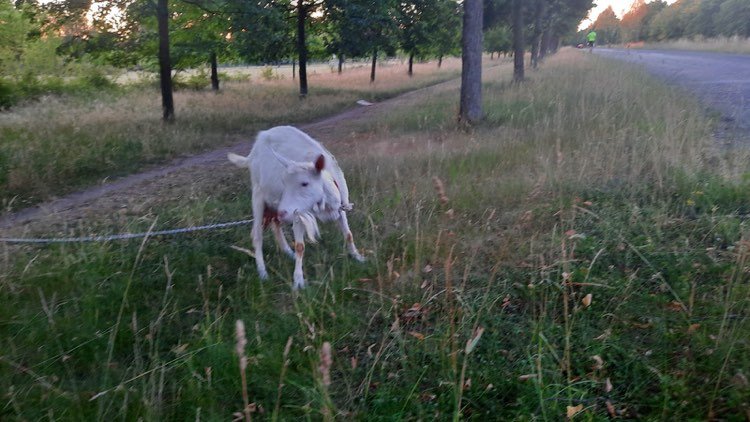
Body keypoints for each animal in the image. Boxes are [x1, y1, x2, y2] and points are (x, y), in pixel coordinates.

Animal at [228, 125, 366, 290]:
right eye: (284, 182)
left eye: (304, 183)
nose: (283, 212)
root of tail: (259, 141)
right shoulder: (298, 214)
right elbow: (300, 246)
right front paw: (298, 281)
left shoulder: (340, 207)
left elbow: (348, 234)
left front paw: (358, 257)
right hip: (259, 195)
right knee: (257, 234)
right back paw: (263, 273)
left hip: (274, 202)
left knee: (275, 224)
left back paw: (288, 252)